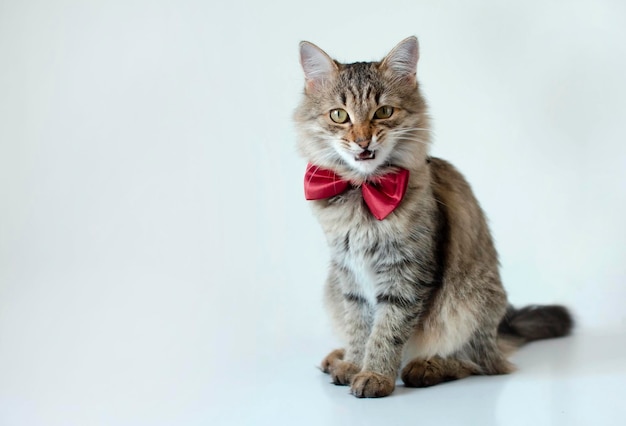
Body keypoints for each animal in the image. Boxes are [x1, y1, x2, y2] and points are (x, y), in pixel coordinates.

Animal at [292, 35, 572, 396]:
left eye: (383, 112)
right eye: (339, 115)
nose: (363, 141)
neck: (366, 192)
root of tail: (499, 332)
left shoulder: (407, 273)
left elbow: (386, 331)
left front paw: (375, 375)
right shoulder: (348, 274)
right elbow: (359, 328)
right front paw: (353, 363)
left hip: (469, 300)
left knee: (481, 364)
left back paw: (426, 367)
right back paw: (336, 358)